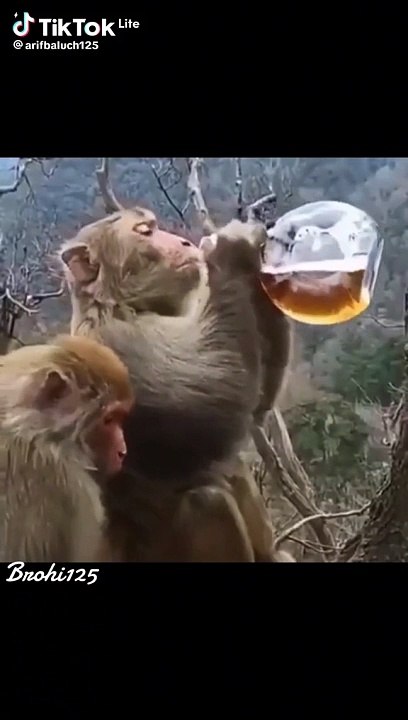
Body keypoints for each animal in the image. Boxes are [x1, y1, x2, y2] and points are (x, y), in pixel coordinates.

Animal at [60, 209, 294, 562]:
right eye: (145, 231)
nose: (185, 242)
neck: (122, 305)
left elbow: (254, 405)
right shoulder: (120, 349)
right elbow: (214, 407)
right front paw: (232, 246)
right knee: (207, 501)